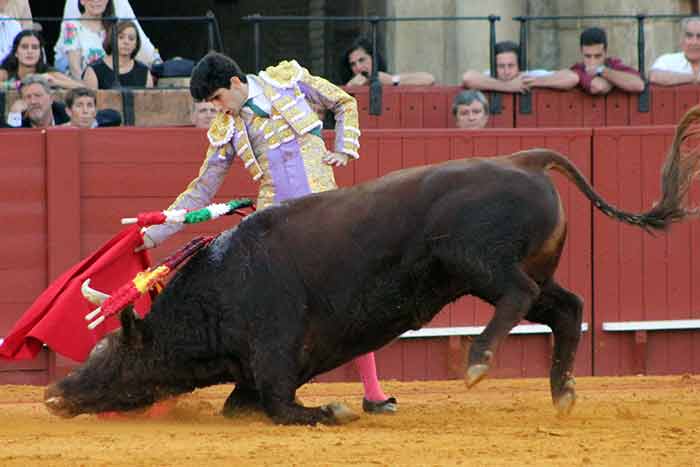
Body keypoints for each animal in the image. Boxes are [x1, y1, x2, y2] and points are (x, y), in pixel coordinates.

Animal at [42, 109, 700, 424]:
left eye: (108, 353)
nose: (53, 394)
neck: (222, 288)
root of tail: (523, 157)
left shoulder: (274, 357)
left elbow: (283, 408)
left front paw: (331, 411)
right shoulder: (258, 370)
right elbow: (241, 404)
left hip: (476, 264)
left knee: (515, 296)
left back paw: (479, 362)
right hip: (526, 272)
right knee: (566, 307)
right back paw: (561, 393)